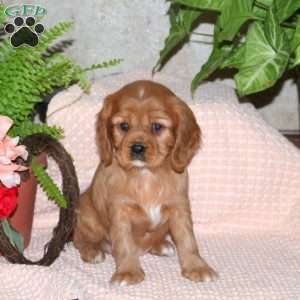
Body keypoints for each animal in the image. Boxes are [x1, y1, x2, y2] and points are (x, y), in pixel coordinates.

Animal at [73, 80, 218, 286]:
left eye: (157, 127)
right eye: (124, 126)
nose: (137, 148)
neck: (146, 175)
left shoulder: (179, 207)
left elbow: (188, 240)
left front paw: (197, 267)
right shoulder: (120, 211)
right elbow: (124, 243)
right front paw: (128, 272)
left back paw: (161, 245)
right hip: (87, 215)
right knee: (79, 239)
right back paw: (93, 251)